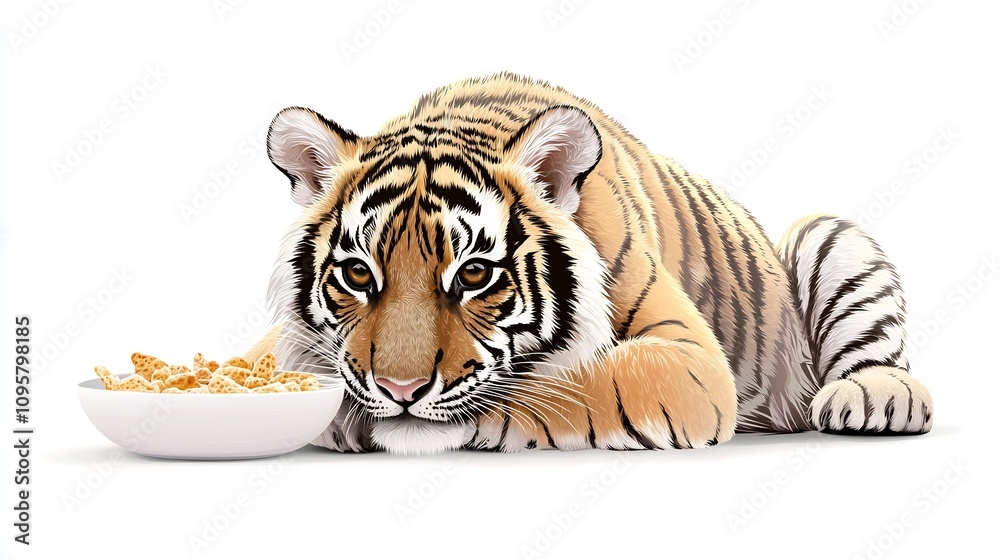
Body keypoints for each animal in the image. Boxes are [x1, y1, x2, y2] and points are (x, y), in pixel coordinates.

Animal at [252, 72, 933, 454]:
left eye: (474, 275)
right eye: (358, 275)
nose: (400, 391)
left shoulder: (688, 355)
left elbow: (576, 382)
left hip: (823, 235)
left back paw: (872, 399)